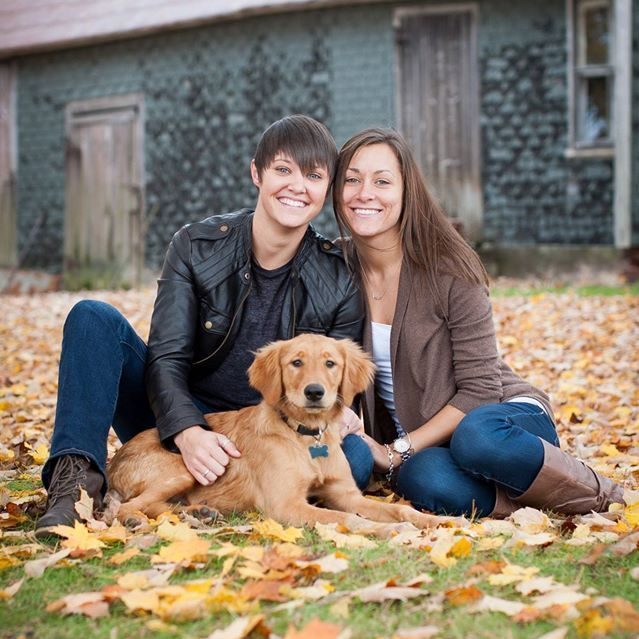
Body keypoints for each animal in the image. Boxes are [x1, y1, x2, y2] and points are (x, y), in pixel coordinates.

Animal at [109, 336, 450, 528]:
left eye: (330, 363)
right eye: (296, 362)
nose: (314, 392)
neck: (307, 437)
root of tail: (115, 461)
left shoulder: (346, 494)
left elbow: (400, 510)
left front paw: (436, 521)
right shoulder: (286, 505)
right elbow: (346, 520)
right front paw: (385, 530)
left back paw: (199, 513)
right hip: (182, 467)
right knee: (127, 506)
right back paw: (137, 518)